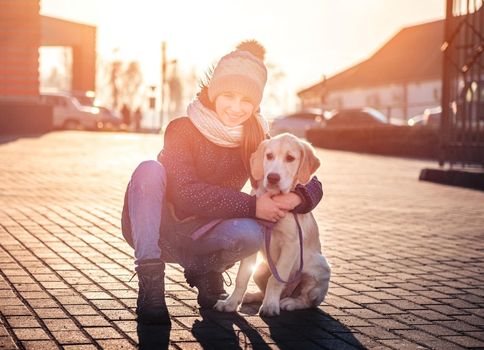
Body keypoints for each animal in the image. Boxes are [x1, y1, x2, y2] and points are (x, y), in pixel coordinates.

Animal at [214, 133, 330, 316]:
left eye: (290, 158)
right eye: (269, 156)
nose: (273, 177)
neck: (274, 199)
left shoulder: (291, 245)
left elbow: (275, 280)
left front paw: (270, 306)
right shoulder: (254, 241)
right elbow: (242, 277)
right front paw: (230, 303)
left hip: (319, 268)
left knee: (307, 301)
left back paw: (289, 302)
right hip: (261, 268)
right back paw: (251, 296)